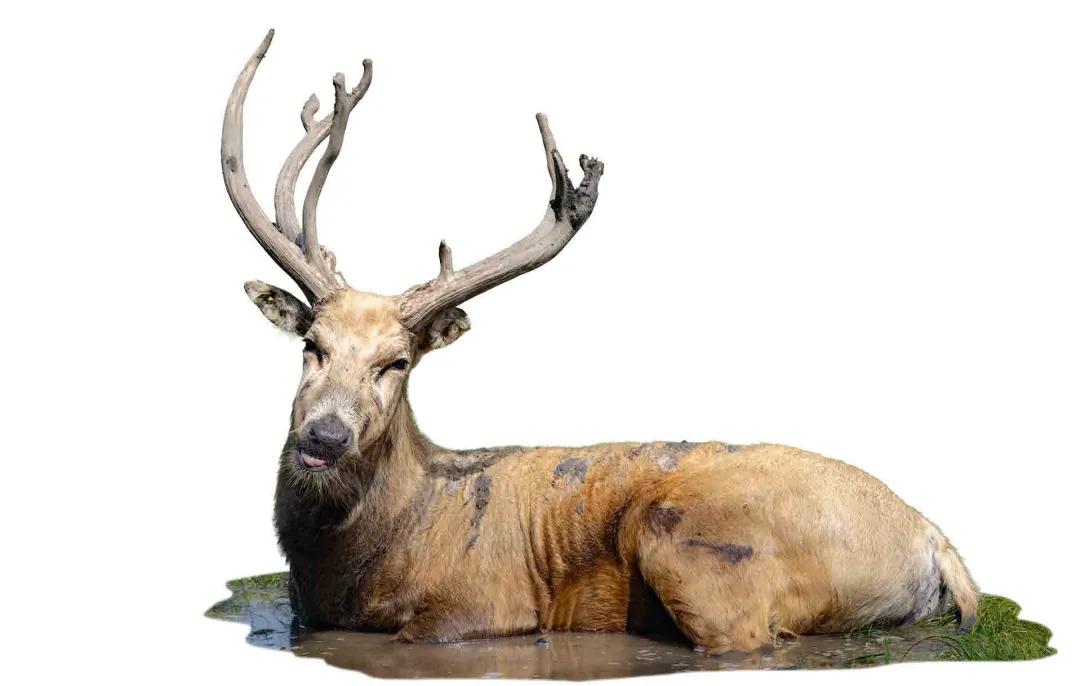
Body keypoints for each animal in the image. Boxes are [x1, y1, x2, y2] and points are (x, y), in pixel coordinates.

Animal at [221, 30, 978, 655]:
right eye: (311, 344)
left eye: (397, 362)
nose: (324, 435)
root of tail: (931, 537)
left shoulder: (479, 603)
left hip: (694, 545)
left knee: (746, 637)